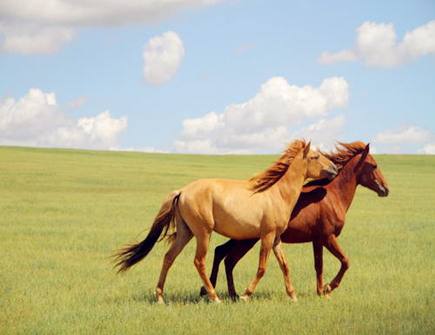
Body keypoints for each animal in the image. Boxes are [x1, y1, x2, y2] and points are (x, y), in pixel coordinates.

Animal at [114, 140, 338, 304]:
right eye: (315, 157)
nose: (335, 168)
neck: (277, 193)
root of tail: (182, 191)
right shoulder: (266, 236)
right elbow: (262, 268)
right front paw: (245, 295)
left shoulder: (276, 238)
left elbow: (285, 266)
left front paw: (293, 296)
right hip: (203, 233)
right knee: (199, 261)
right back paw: (214, 297)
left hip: (186, 232)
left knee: (169, 257)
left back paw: (160, 297)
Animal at [203, 142, 390, 300]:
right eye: (374, 165)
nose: (385, 189)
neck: (332, 196)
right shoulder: (328, 237)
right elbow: (345, 261)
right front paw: (328, 288)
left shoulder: (317, 240)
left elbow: (319, 265)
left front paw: (321, 292)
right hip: (247, 240)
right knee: (227, 258)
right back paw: (224, 292)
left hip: (245, 239)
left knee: (224, 255)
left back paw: (222, 292)